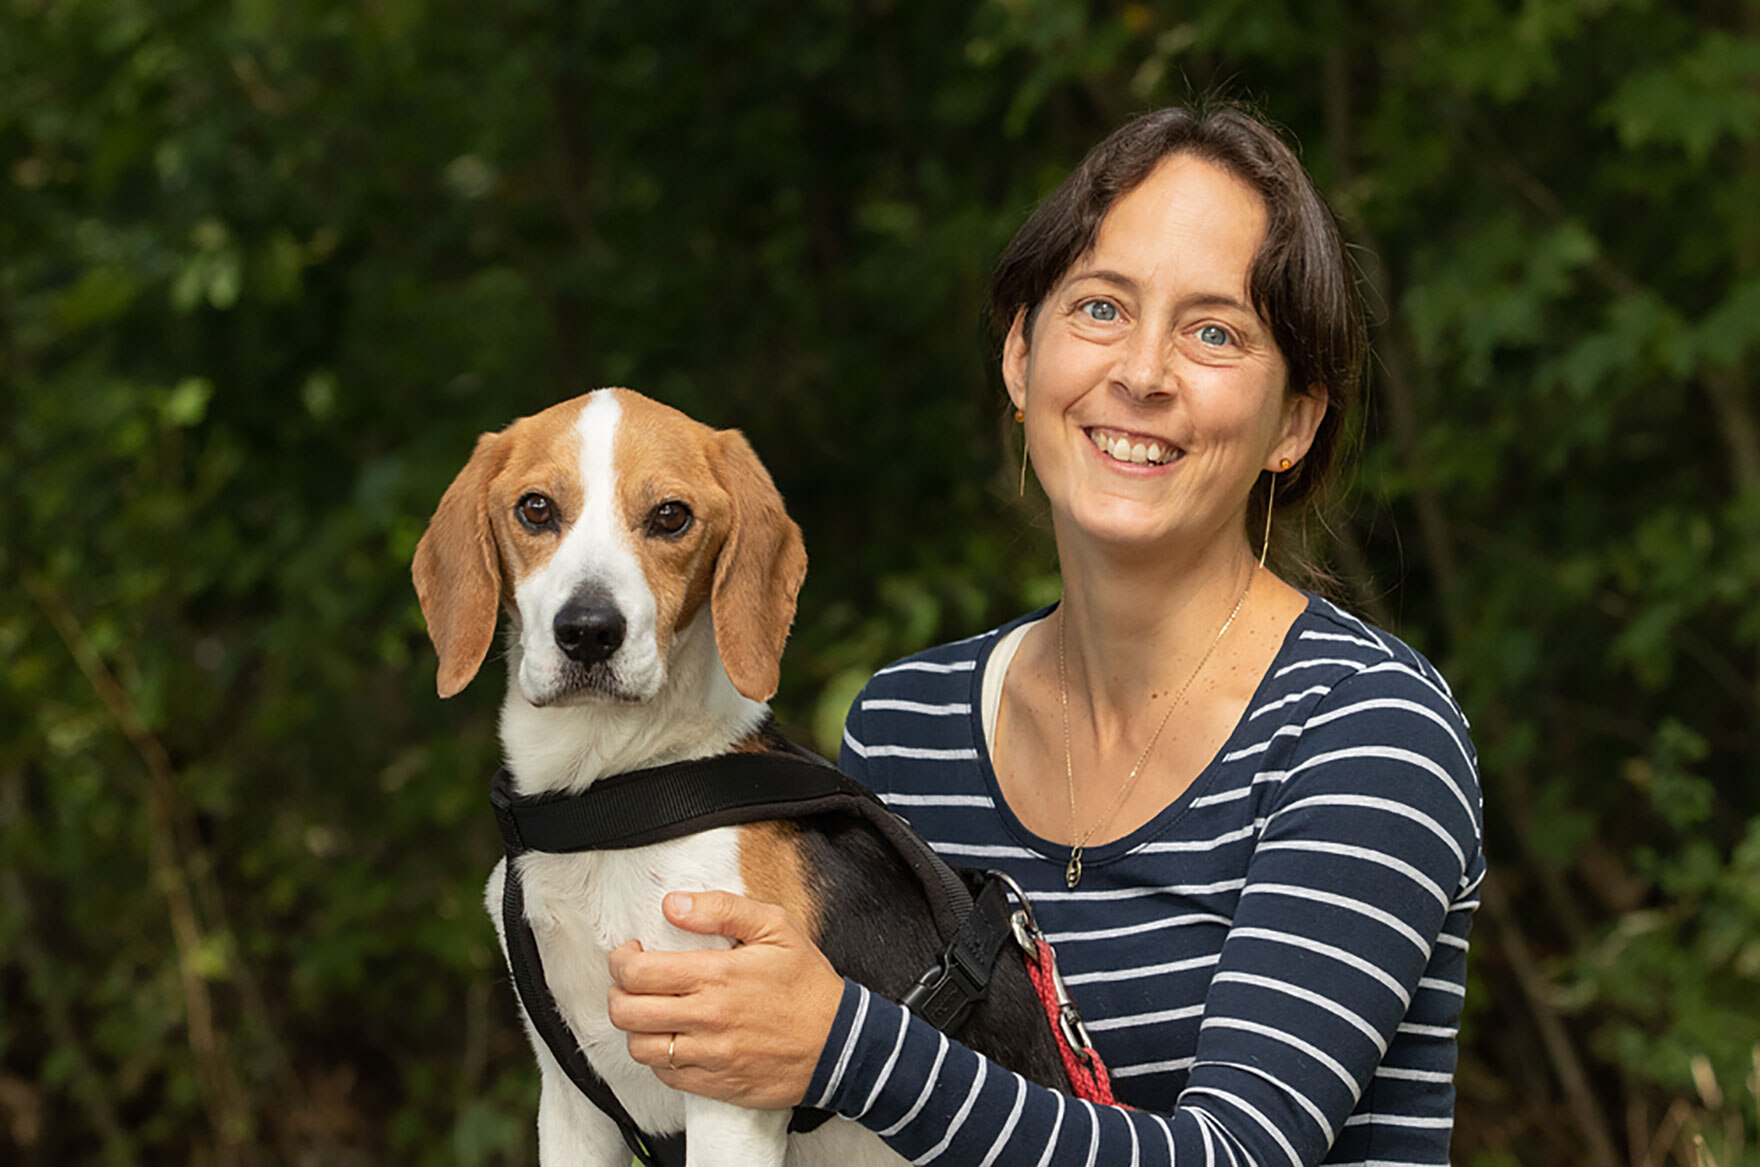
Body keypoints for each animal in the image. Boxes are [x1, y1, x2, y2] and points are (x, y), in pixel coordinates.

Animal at [411, 392, 1056, 1167]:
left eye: (671, 516)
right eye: (535, 509)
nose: (589, 631)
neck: (611, 795)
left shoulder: (726, 1104)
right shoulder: (571, 1106)